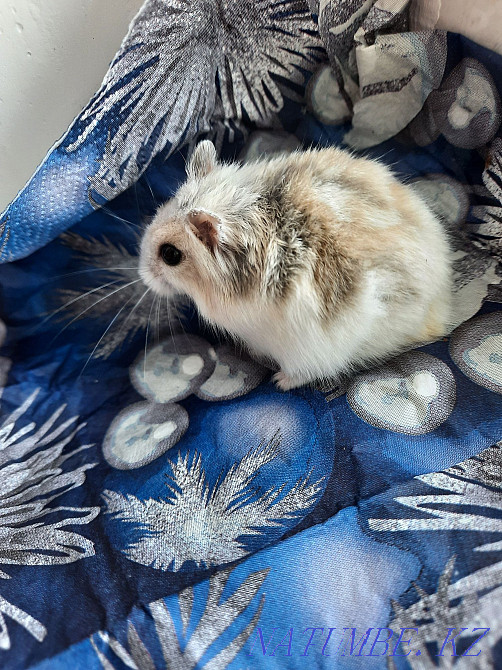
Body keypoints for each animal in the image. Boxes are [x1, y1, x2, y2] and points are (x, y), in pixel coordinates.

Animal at [139, 140, 453, 390]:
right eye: (160, 211)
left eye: (170, 254)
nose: (143, 276)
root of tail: (438, 304)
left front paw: (277, 381)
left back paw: (280, 381)